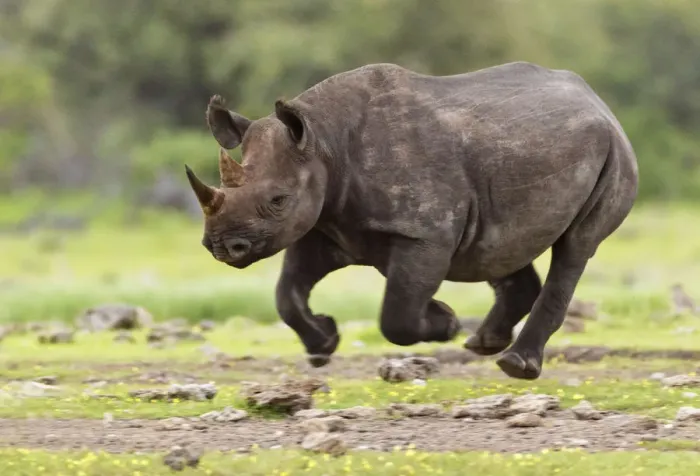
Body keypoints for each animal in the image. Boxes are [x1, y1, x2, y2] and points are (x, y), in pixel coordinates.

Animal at [185, 61, 638, 379]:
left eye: (278, 200)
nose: (223, 246)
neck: (324, 142)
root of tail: (597, 101)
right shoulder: (327, 225)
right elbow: (287, 293)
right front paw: (324, 343)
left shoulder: (423, 233)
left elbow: (397, 315)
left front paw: (444, 320)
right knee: (499, 245)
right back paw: (483, 344)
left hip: (614, 154)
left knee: (576, 247)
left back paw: (514, 364)